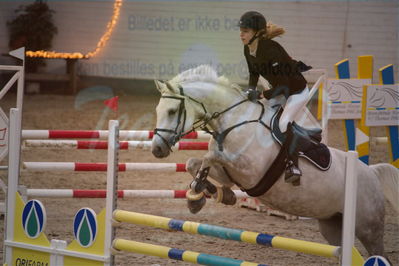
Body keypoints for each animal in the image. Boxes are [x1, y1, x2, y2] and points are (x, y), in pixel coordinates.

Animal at [152, 64, 398, 258]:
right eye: (158, 110)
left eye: (172, 111)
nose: (156, 149)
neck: (235, 121)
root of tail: (372, 172)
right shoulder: (230, 172)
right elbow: (195, 163)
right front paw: (212, 193)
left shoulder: (250, 169)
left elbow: (208, 157)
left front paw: (197, 196)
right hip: (333, 225)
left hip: (368, 227)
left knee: (378, 253)